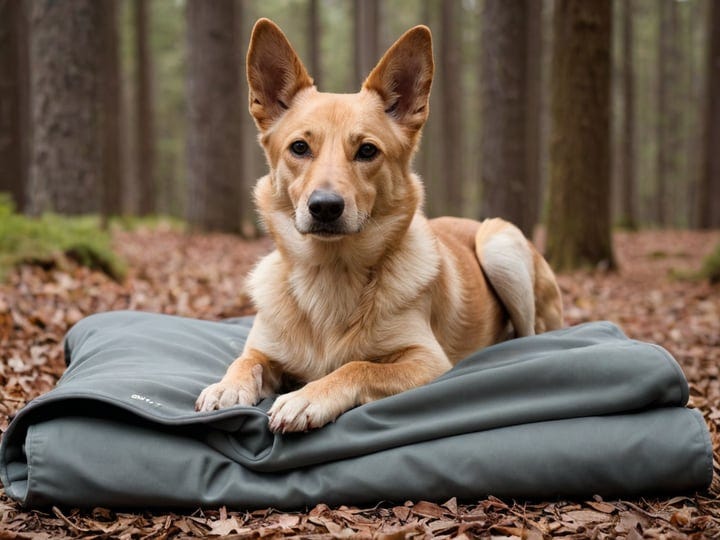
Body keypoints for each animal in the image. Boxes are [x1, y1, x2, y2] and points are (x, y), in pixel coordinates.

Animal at [195, 17, 564, 430]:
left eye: (367, 150)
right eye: (299, 148)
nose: (325, 207)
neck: (331, 273)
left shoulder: (428, 361)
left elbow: (357, 366)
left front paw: (309, 397)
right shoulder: (265, 348)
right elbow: (245, 360)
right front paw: (227, 385)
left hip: (499, 244)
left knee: (528, 336)